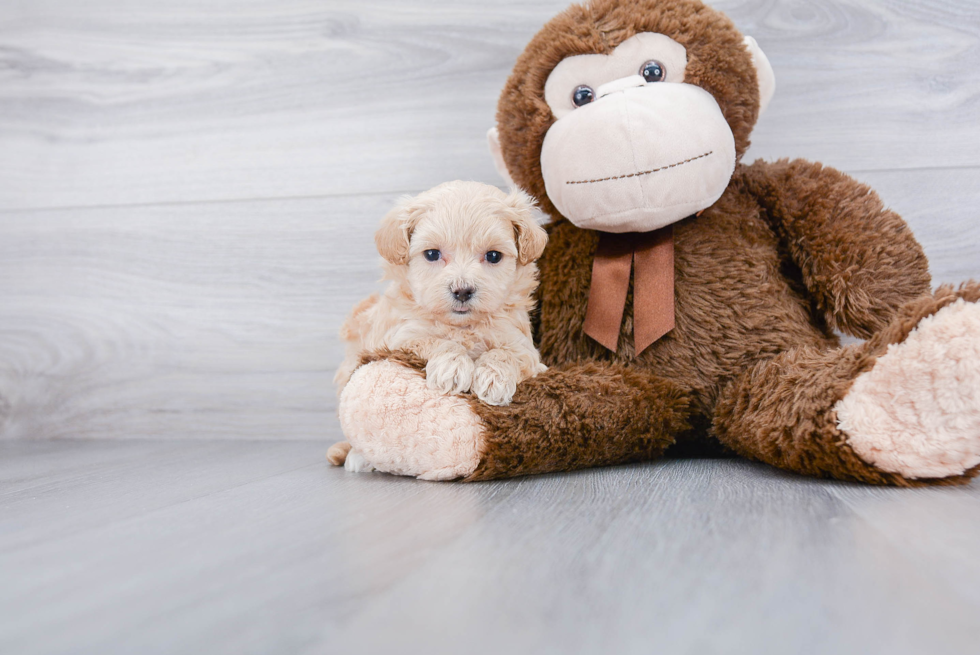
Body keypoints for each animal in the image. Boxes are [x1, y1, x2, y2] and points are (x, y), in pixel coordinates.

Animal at [332, 179, 552, 472]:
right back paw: (357, 458)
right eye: (432, 254)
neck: (462, 326)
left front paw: (493, 378)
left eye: (493, 256)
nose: (462, 290)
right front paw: (453, 367)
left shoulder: (524, 348)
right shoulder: (400, 338)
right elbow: (437, 340)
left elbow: (506, 353)